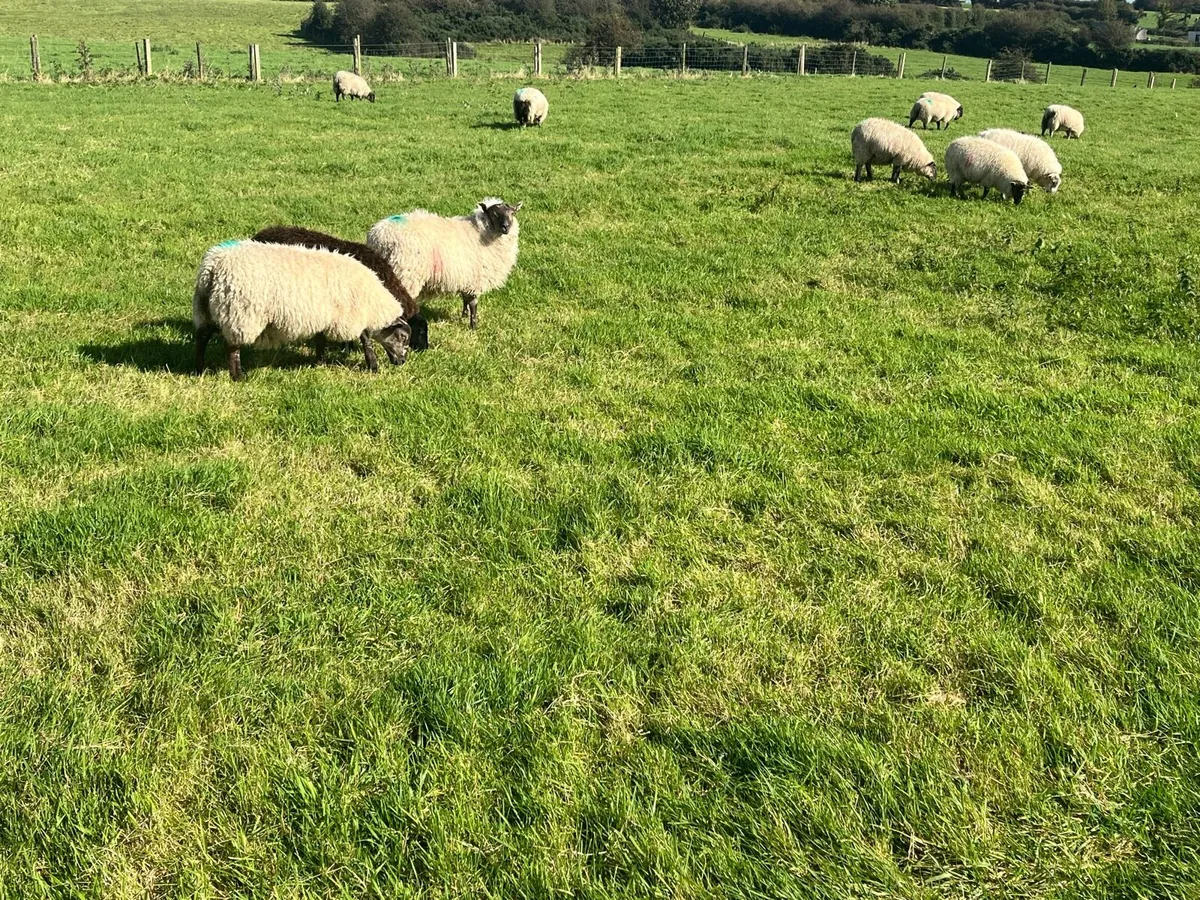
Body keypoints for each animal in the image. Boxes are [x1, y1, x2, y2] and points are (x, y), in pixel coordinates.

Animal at [193, 240, 411, 380]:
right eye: (403, 337)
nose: (402, 361)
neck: (373, 301)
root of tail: (212, 267)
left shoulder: (325, 317)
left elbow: (321, 340)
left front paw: (320, 362)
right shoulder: (350, 316)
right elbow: (365, 338)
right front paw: (373, 365)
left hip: (210, 308)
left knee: (202, 337)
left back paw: (199, 369)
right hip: (241, 312)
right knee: (231, 347)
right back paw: (238, 376)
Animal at [366, 198, 522, 331]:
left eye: (512, 213)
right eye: (494, 214)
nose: (505, 227)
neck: (482, 231)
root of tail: (379, 238)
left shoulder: (466, 278)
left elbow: (465, 300)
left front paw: (463, 316)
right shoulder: (475, 279)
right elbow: (473, 304)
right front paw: (473, 326)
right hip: (406, 274)